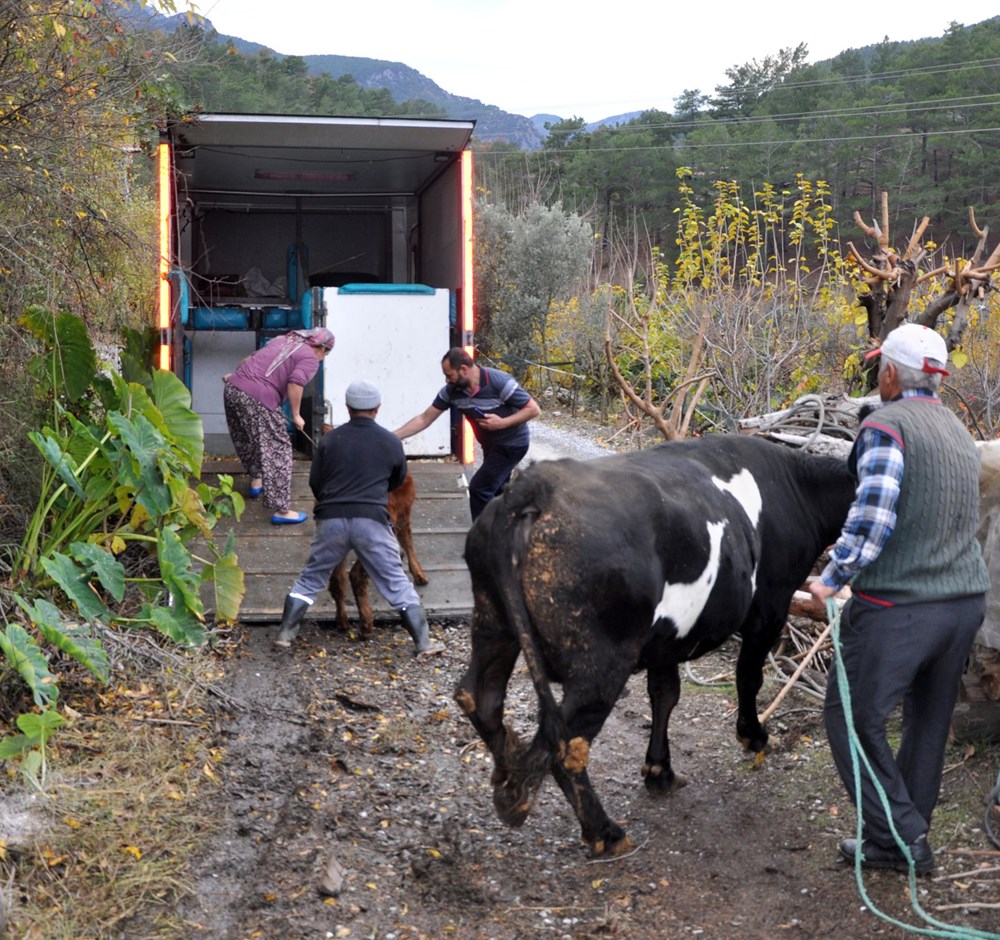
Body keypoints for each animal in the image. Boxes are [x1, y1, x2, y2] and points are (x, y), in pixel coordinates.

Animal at [324, 470, 426, 640]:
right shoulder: (403, 510)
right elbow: (407, 540)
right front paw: (419, 574)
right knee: (356, 574)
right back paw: (366, 625)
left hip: (336, 536)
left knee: (338, 579)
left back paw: (342, 621)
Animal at [454, 436, 852, 856]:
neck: (799, 487)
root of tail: (533, 487)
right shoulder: (771, 607)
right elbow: (748, 677)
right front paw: (753, 735)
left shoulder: (669, 638)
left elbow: (665, 694)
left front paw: (660, 770)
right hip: (603, 659)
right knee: (567, 741)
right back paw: (603, 832)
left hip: (493, 621)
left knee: (480, 697)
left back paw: (507, 784)